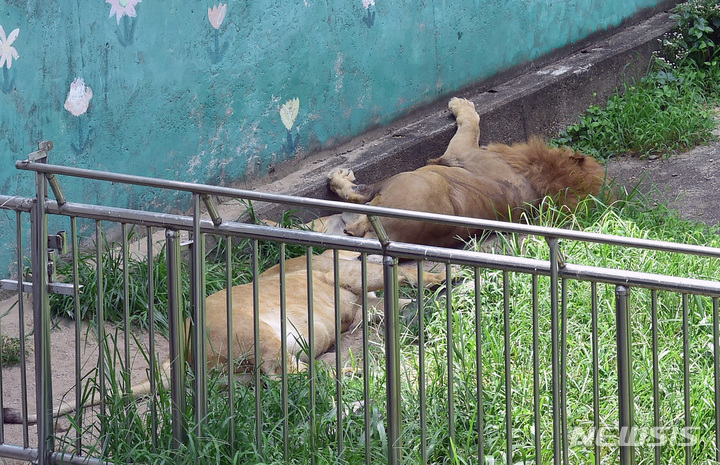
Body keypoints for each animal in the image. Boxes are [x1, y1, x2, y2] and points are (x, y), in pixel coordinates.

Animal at [328, 96, 608, 248]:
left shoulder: (461, 150)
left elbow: (471, 122)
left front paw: (460, 104)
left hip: (419, 178)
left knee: (358, 194)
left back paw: (337, 178)